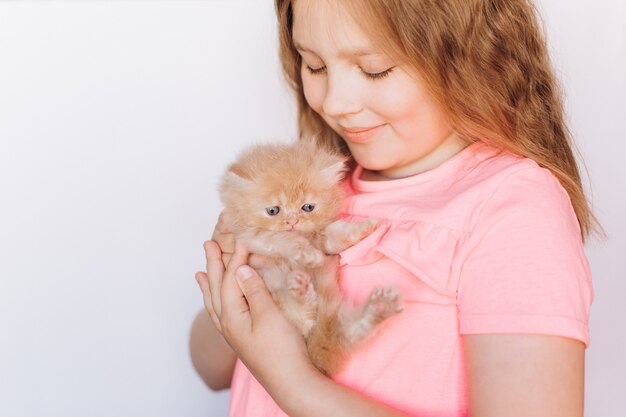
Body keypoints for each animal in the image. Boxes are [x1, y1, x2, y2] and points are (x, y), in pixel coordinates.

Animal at [217, 140, 400, 374]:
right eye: (273, 210)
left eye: (308, 207)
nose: (292, 221)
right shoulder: (250, 237)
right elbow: (282, 239)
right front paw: (307, 254)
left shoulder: (324, 238)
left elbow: (338, 233)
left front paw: (364, 227)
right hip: (283, 302)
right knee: (306, 316)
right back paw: (301, 287)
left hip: (331, 317)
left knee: (347, 331)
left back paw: (380, 307)